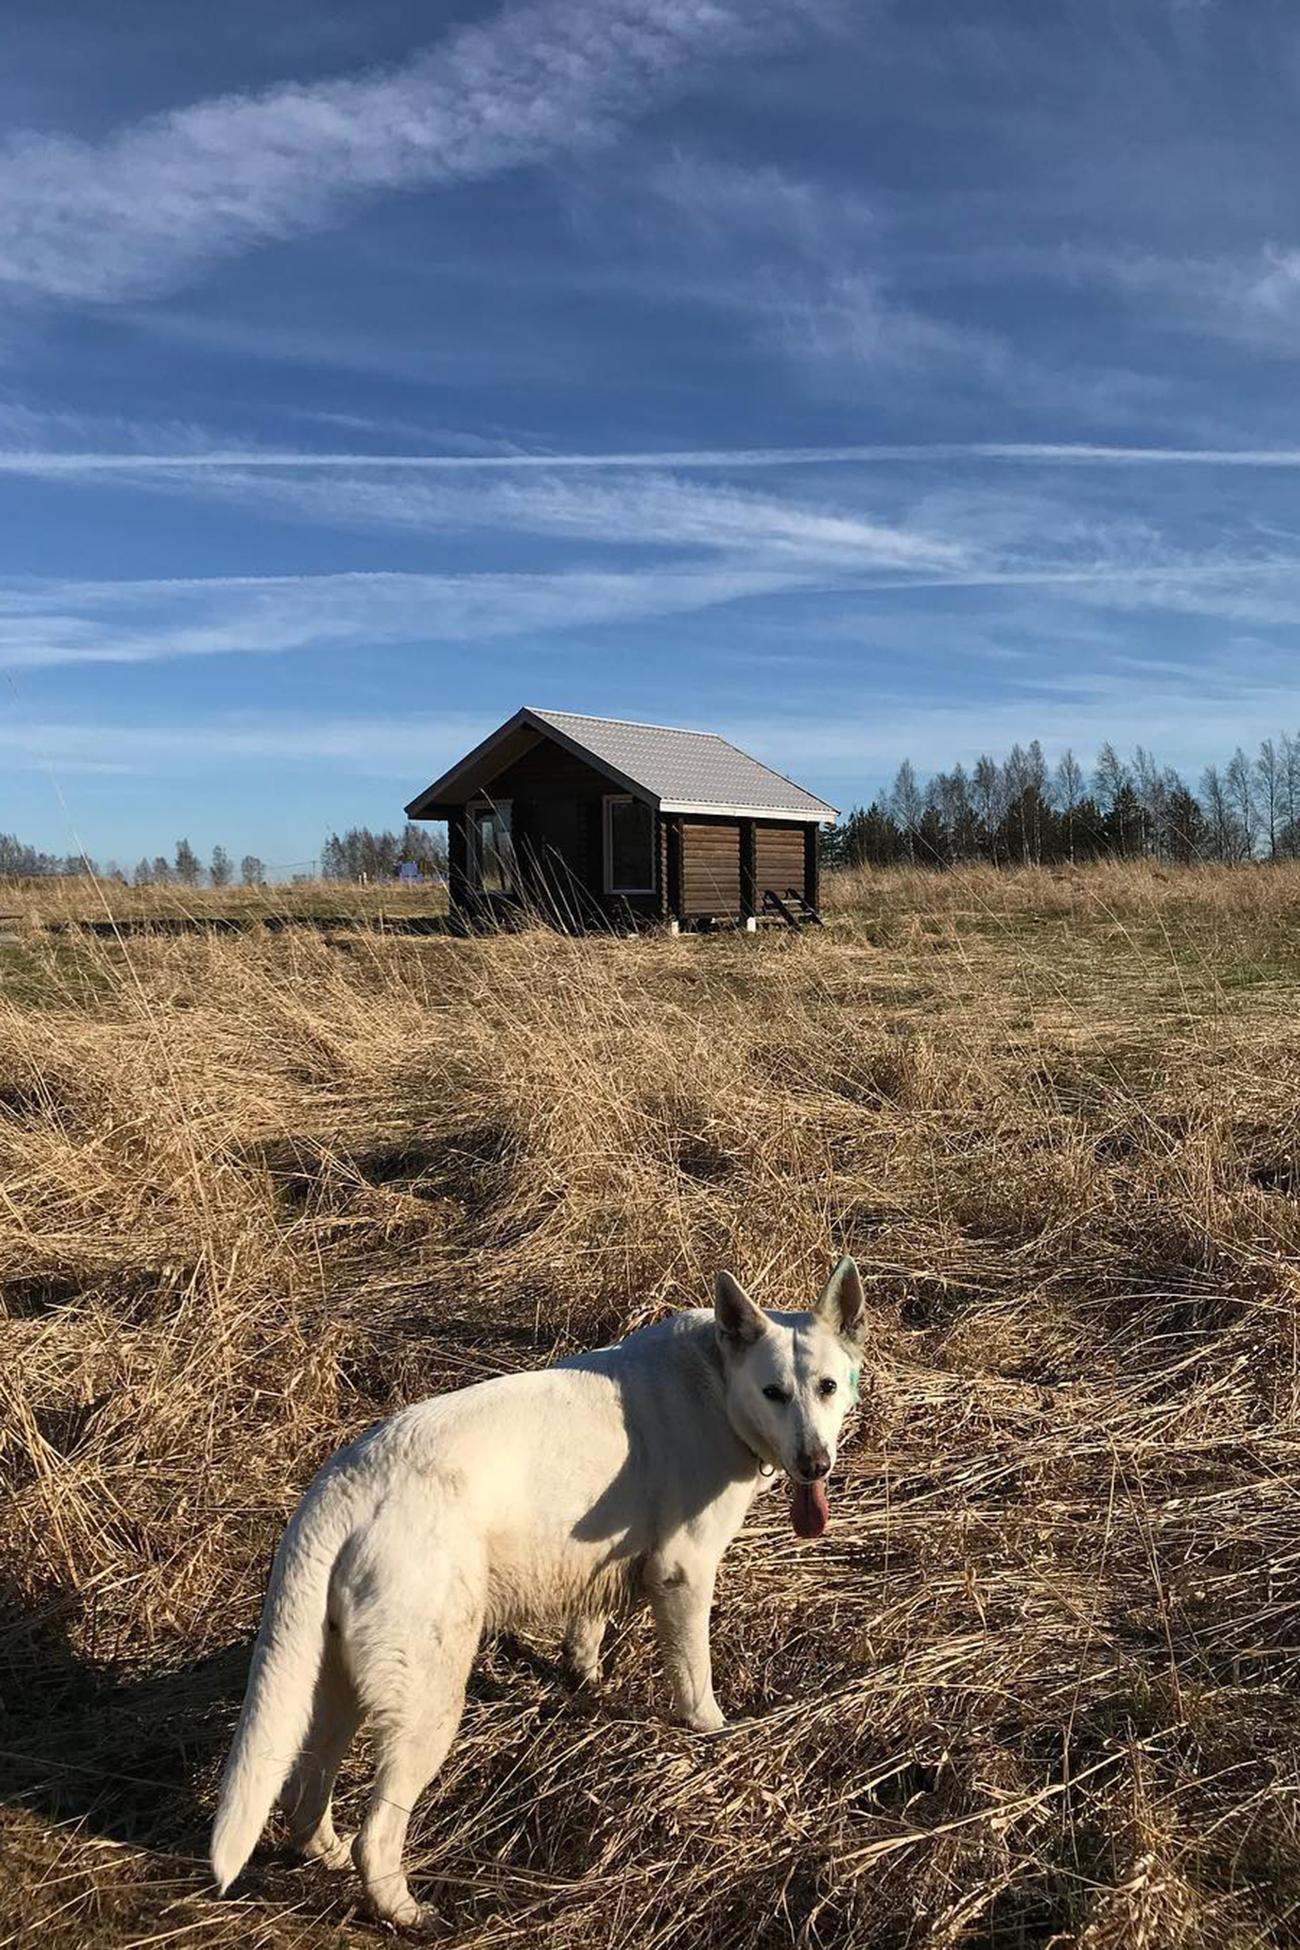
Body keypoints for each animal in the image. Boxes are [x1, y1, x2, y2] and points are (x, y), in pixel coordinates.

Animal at [208, 1255, 869, 1926]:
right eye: (773, 1393)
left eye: (826, 1388)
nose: (816, 1464)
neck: (717, 1381)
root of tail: (339, 1488)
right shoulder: (682, 1574)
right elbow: (694, 1679)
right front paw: (711, 1730)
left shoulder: (599, 1570)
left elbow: (586, 1636)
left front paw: (586, 1681)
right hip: (428, 1706)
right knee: (378, 1834)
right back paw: (405, 1910)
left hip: (339, 1684)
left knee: (304, 1789)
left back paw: (328, 1854)